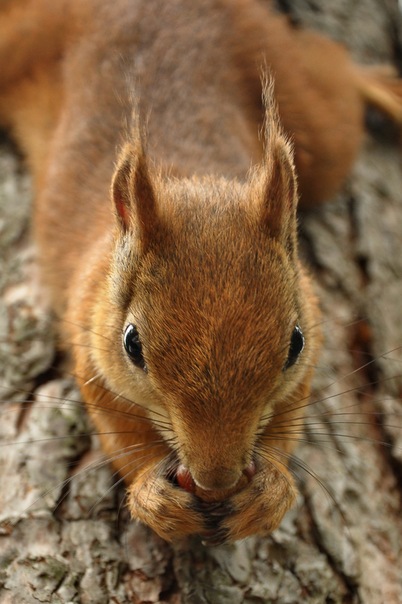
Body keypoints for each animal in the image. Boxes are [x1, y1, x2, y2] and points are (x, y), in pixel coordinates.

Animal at [0, 0, 402, 544]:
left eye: (294, 343)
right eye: (132, 344)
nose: (218, 479)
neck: (193, 179)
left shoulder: (311, 330)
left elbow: (288, 418)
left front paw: (271, 491)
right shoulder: (88, 339)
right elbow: (120, 435)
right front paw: (154, 496)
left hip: (312, 122)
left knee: (333, 75)